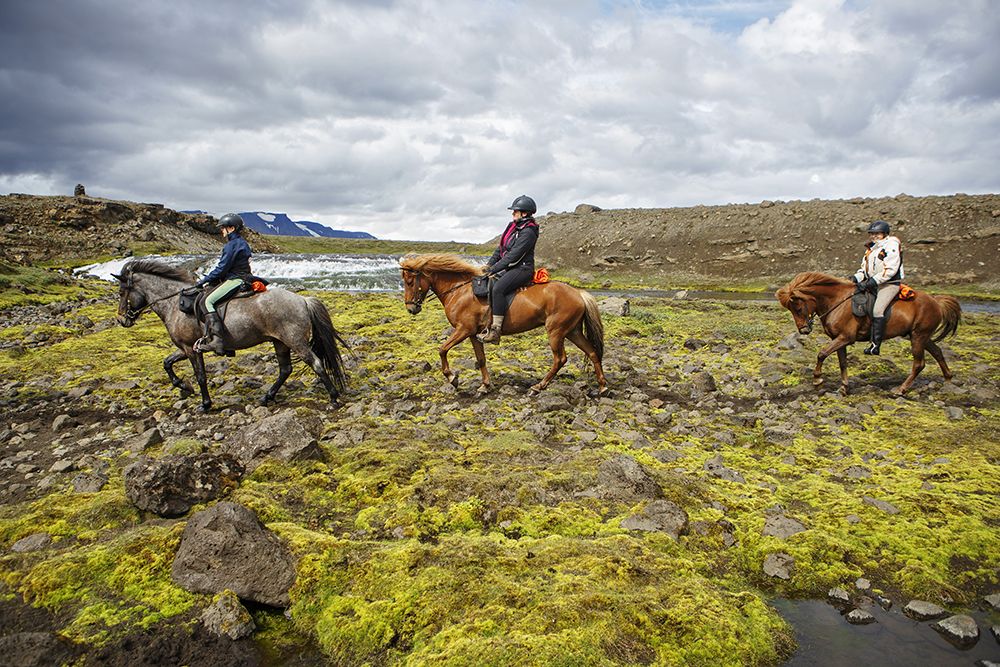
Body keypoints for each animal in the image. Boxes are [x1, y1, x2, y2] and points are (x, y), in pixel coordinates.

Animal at [114, 258, 348, 412]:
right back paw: (266, 398)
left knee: (316, 364)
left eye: (122, 292)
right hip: (279, 341)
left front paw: (205, 405)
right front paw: (183, 385)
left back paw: (333, 398)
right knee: (285, 370)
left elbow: (200, 376)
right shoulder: (187, 346)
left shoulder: (191, 348)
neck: (175, 304)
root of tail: (302, 299)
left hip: (295, 341)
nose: (122, 320)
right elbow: (167, 362)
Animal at [399, 253, 607, 397]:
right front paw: (484, 386)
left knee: (560, 359)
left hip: (555, 331)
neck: (459, 290)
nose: (410, 309)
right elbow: (481, 359)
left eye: (409, 282)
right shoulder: (473, 334)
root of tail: (578, 292)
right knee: (592, 352)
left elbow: (442, 349)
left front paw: (452, 378)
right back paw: (603, 386)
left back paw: (538, 387)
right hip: (572, 331)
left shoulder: (463, 329)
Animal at [775, 272, 961, 396]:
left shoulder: (845, 338)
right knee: (938, 352)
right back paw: (948, 380)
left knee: (919, 363)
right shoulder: (839, 339)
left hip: (918, 336)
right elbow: (843, 363)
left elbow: (821, 354)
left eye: (799, 308)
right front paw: (843, 387)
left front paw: (817, 381)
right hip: (921, 336)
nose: (804, 330)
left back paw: (901, 389)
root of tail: (936, 301)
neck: (837, 302)